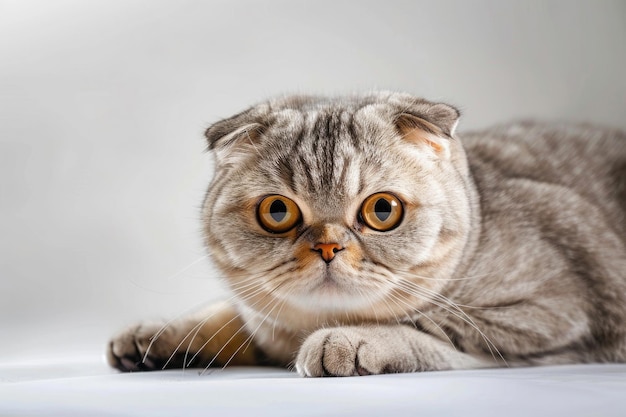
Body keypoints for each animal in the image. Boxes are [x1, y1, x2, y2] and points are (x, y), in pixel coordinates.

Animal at [107, 92, 624, 376]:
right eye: (277, 210)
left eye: (382, 210)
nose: (328, 246)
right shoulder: (262, 320)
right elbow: (230, 314)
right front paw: (158, 334)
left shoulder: (543, 318)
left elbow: (423, 325)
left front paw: (346, 341)